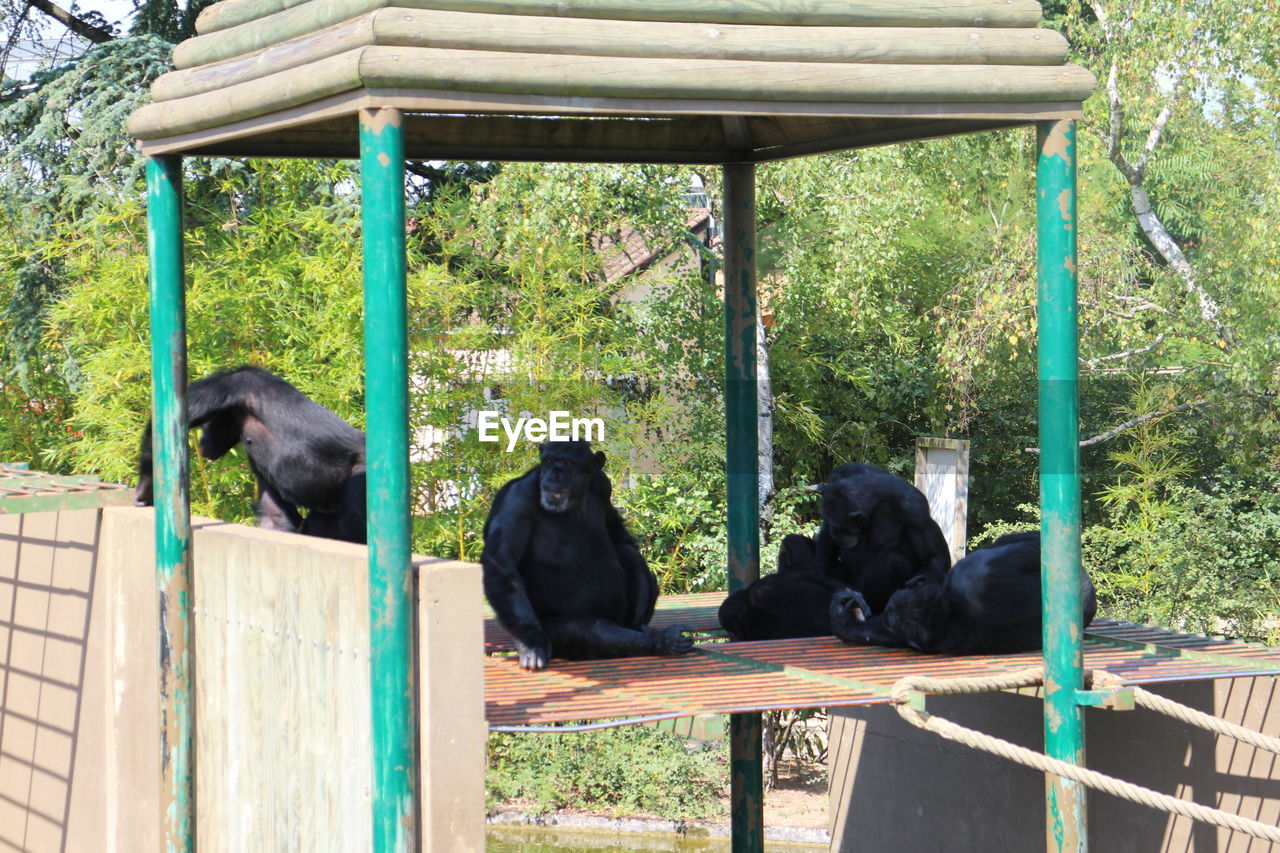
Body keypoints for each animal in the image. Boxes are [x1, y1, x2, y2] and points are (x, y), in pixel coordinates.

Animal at [135, 363, 366, 537]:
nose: (202, 438)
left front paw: (145, 487)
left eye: (209, 421)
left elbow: (172, 419)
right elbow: (275, 517)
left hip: (359, 481)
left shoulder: (227, 386)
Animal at [483, 440, 696, 666]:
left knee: (628, 555)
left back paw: (640, 628)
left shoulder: (603, 484)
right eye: (548, 460)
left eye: (569, 462)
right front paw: (532, 643)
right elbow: (503, 564)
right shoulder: (516, 500)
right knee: (584, 630)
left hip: (620, 618)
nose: (555, 473)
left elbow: (618, 534)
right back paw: (663, 640)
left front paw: (653, 588)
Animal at [716, 466, 957, 637]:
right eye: (830, 522)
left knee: (893, 560)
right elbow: (821, 554)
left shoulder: (914, 507)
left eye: (840, 525)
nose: (834, 530)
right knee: (794, 543)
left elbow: (934, 557)